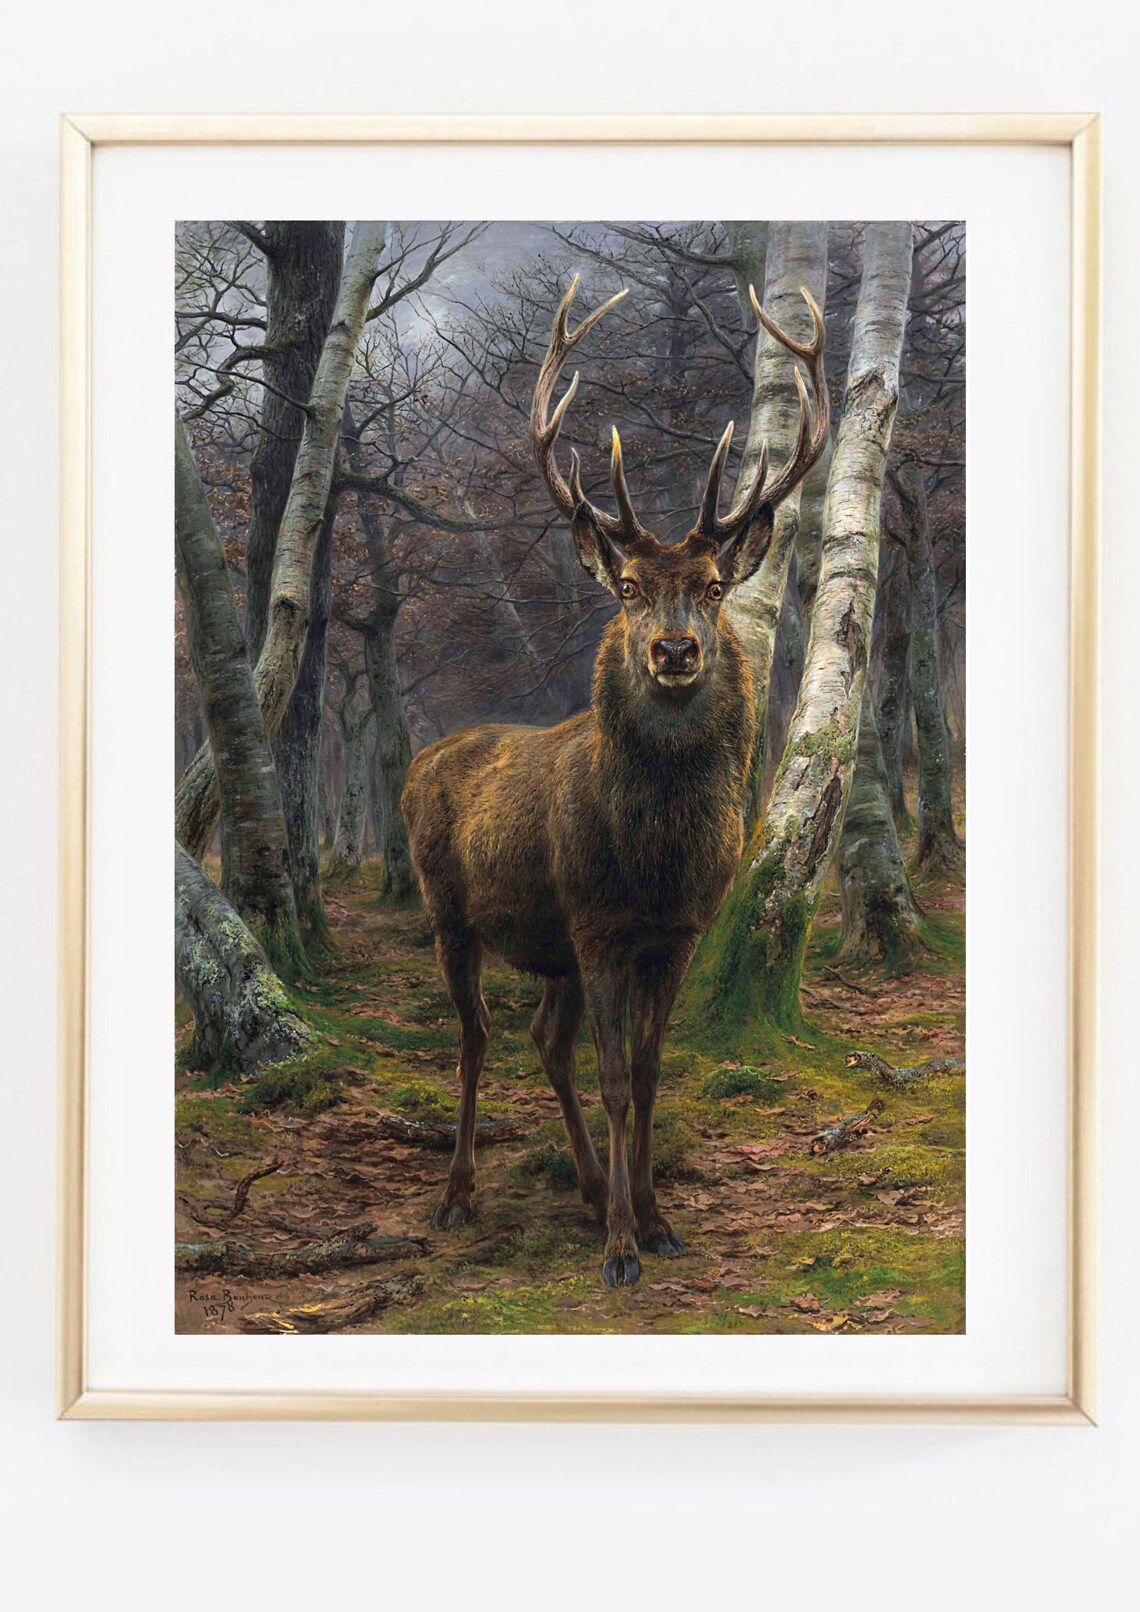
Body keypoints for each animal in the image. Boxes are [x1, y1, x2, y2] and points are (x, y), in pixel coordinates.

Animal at [402, 275, 828, 1287]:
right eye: (629, 587)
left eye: (712, 585)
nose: (673, 650)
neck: (655, 861)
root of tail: (424, 759)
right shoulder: (598, 924)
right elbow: (611, 1078)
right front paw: (623, 1250)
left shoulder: (672, 933)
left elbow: (645, 1072)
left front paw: (656, 1217)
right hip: (451, 909)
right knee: (477, 1040)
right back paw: (458, 1194)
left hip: (548, 939)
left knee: (540, 1041)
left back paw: (593, 1191)